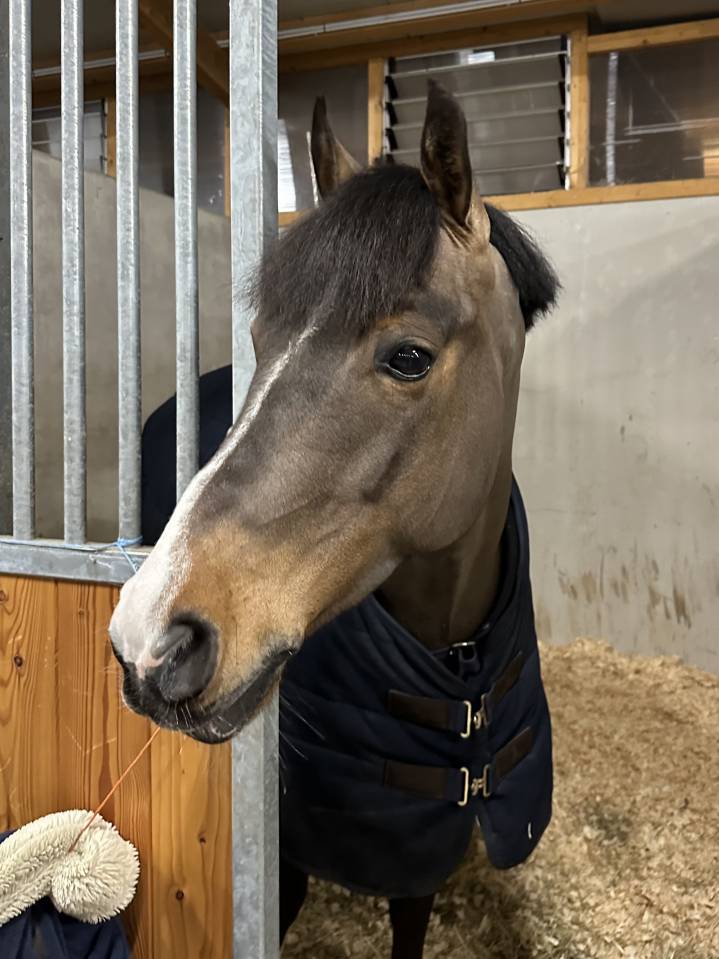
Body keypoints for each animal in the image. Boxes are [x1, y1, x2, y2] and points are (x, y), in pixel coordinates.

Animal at [110, 81, 559, 958]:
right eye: (263, 337)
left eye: (408, 357)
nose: (152, 637)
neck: (453, 654)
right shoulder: (283, 864)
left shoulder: (422, 844)